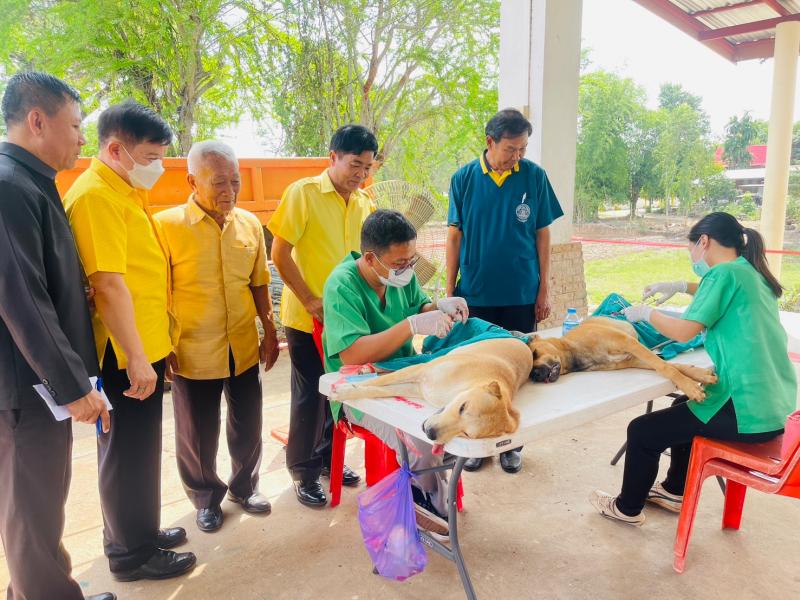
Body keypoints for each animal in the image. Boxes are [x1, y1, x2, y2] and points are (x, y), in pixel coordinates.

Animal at [331, 337, 533, 445]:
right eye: (462, 407)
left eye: (467, 434)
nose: (430, 433)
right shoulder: (420, 371)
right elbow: (379, 382)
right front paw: (343, 390)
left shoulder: (417, 387)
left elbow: (378, 390)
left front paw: (349, 390)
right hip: (444, 353)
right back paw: (367, 368)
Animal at [527, 316, 717, 401]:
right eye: (529, 373)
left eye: (535, 353)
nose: (535, 374)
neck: (572, 351)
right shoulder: (634, 359)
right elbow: (672, 366)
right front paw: (700, 375)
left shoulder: (628, 343)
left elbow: (666, 367)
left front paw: (690, 387)